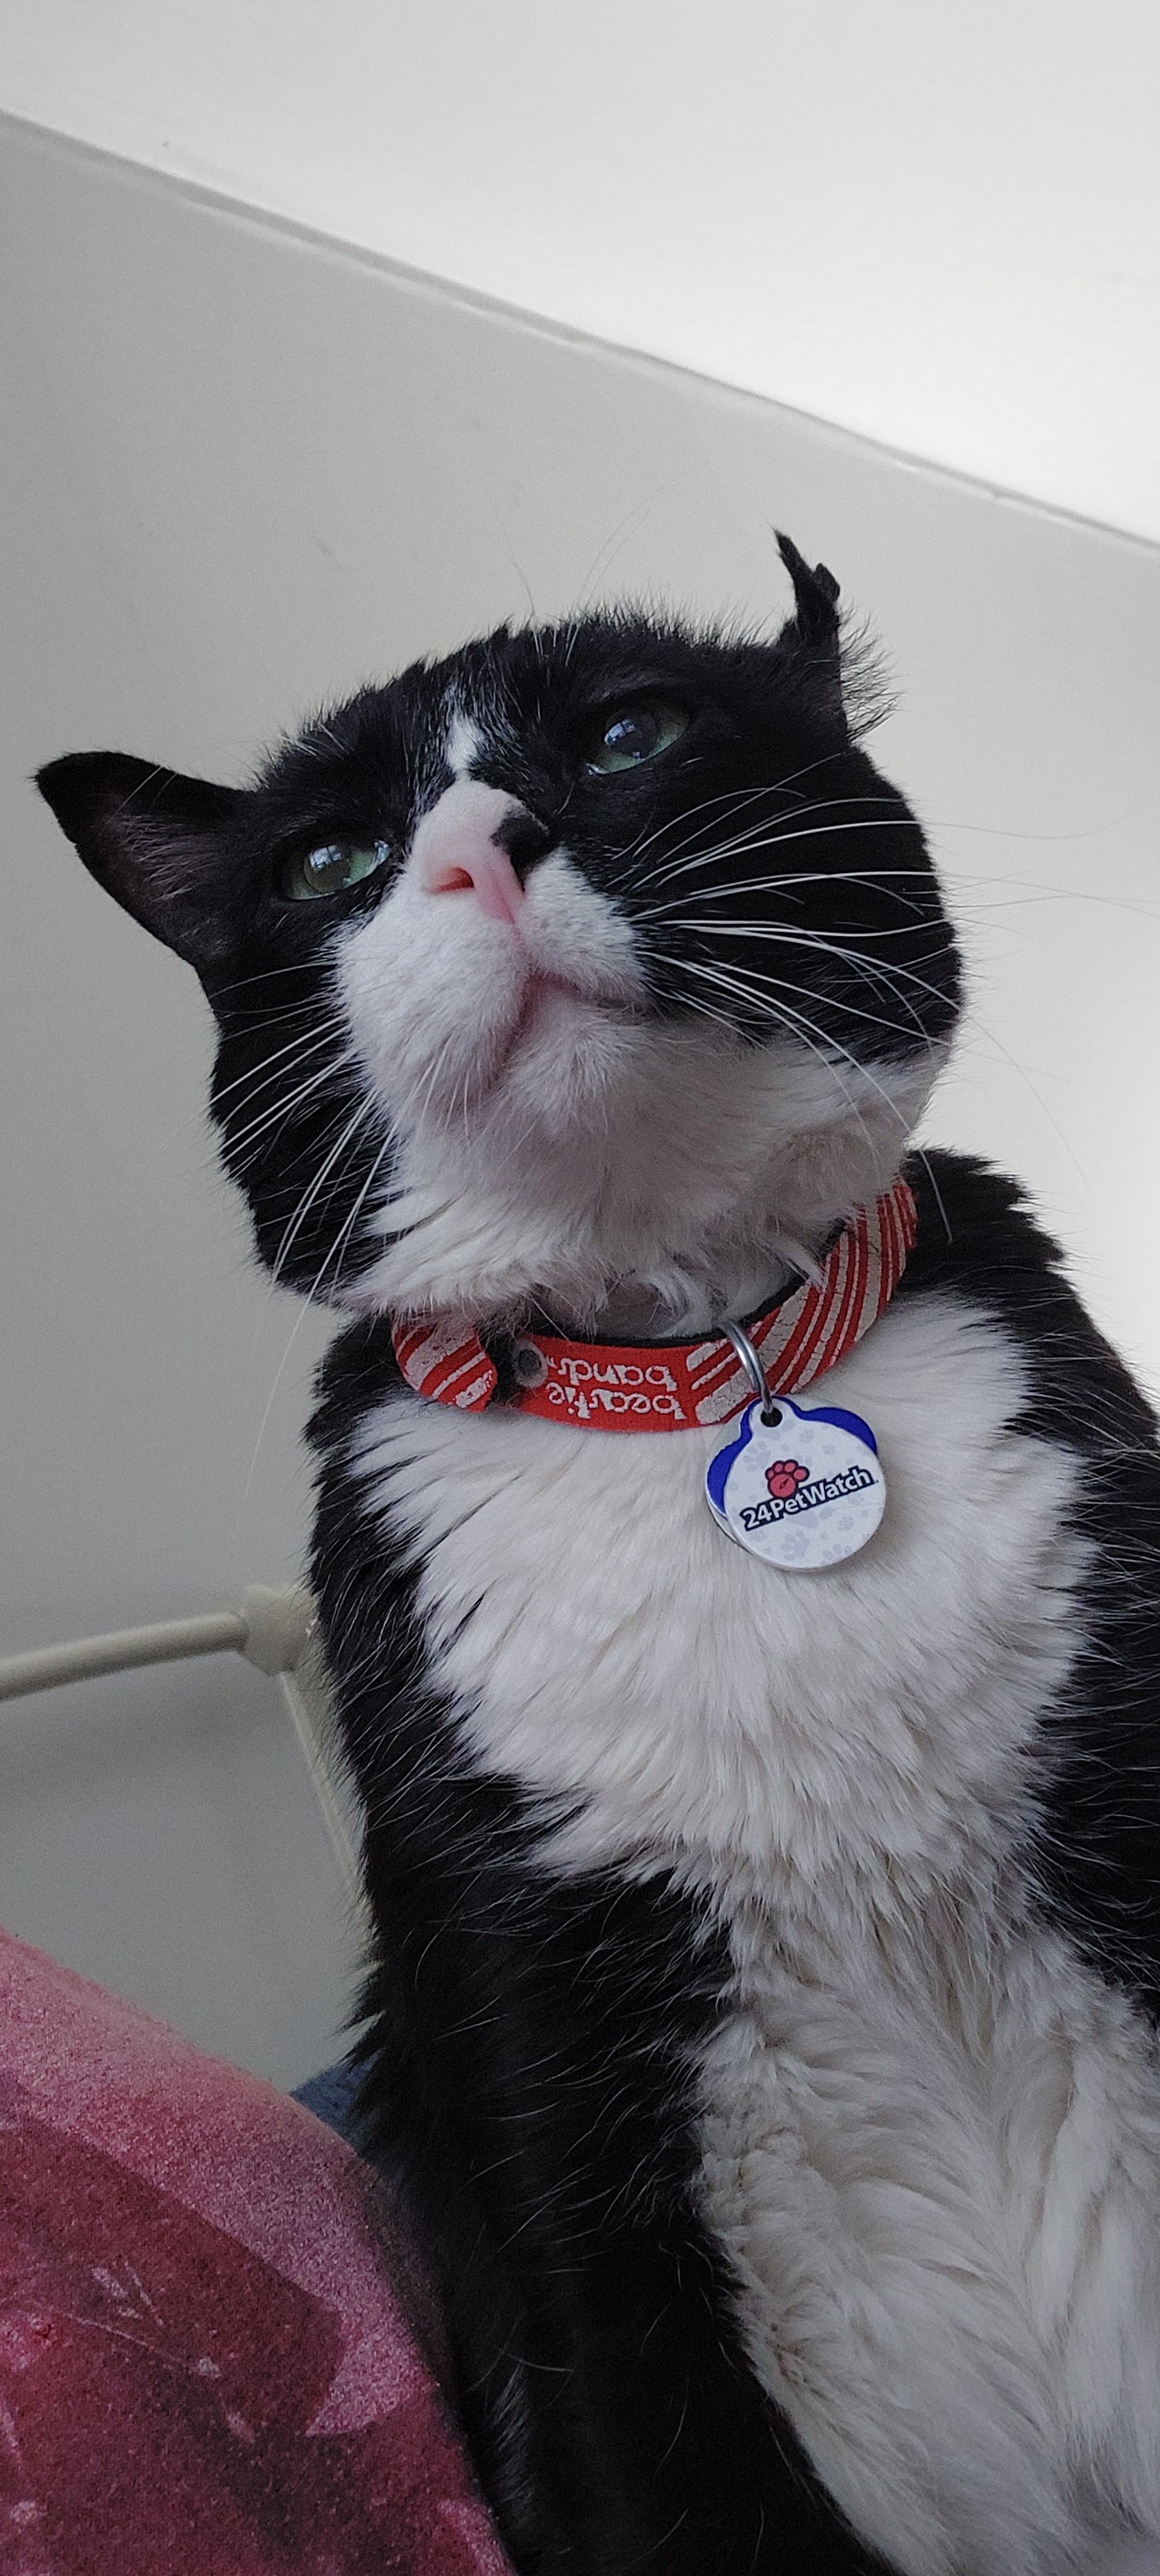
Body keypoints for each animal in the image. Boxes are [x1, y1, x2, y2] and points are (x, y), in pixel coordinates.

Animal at [37, 535, 1160, 2576]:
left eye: (631, 732)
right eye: (327, 861)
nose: (480, 852)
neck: (696, 1370)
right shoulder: (533, 2071)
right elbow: (647, 2459)